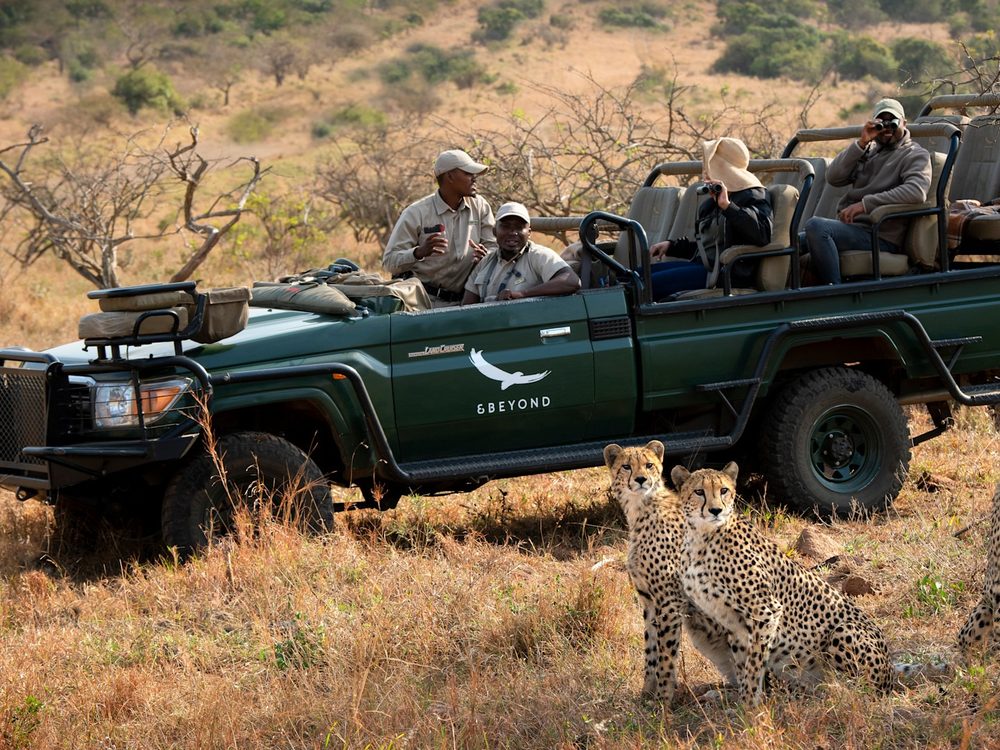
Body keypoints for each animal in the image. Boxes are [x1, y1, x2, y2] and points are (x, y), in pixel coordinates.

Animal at [604, 440, 736, 703]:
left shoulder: (670, 600)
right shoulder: (649, 601)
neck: (641, 508)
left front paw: (663, 700)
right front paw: (646, 693)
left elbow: (666, 654)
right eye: (626, 466)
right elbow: (651, 649)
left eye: (649, 465)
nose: (641, 479)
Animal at [673, 461, 895, 706]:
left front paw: (750, 703)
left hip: (844, 630)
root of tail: (890, 674)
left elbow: (754, 663)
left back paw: (832, 691)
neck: (702, 537)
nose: (716, 511)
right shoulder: (733, 620)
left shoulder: (764, 610)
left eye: (724, 490)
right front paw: (743, 701)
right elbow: (742, 663)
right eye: (699, 492)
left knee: (861, 691)